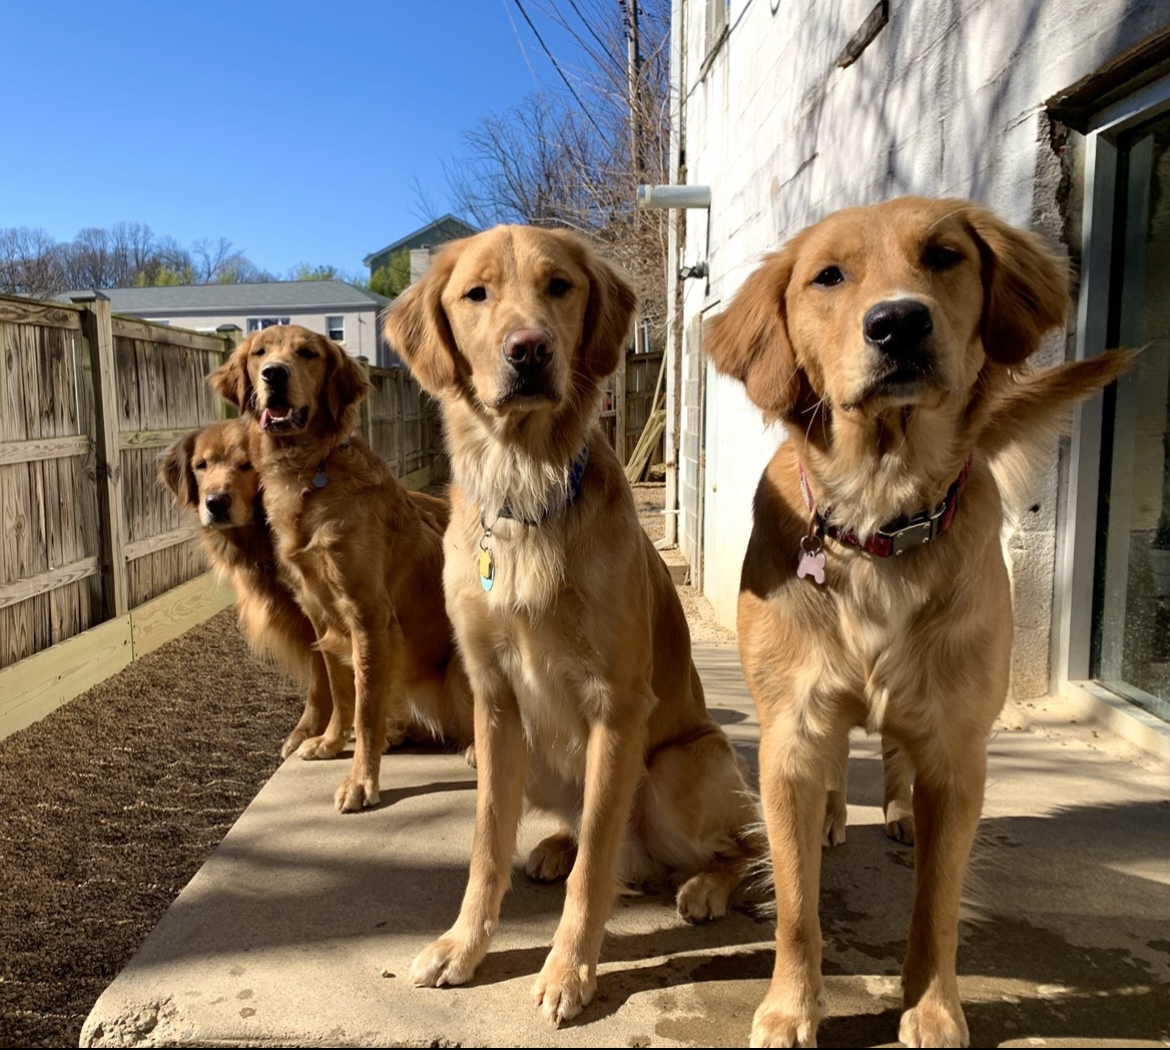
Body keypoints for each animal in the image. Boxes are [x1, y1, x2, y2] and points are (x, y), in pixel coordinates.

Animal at [155, 414, 341, 758]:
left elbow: (323, 681)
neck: (261, 542)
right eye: (201, 465)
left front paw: (310, 732)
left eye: (247, 465)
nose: (215, 503)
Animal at [210, 327, 470, 810]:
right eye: (260, 353)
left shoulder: (368, 616)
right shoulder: (321, 614)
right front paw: (330, 743)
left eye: (307, 354)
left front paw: (361, 782)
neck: (308, 471)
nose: (274, 374)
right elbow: (339, 689)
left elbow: (364, 709)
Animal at [383, 227, 758, 1025]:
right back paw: (557, 846)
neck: (527, 487)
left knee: (735, 843)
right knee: (593, 834)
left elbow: (595, 871)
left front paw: (567, 971)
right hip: (537, 757)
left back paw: (703, 885)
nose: (528, 349)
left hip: (680, 768)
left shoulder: (617, 708)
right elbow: (486, 844)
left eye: (559, 286)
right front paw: (464, 945)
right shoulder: (494, 703)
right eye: (477, 293)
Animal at [702, 194, 1132, 1039]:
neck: (880, 516)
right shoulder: (791, 733)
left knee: (900, 759)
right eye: (827, 276)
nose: (898, 322)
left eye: (943, 256)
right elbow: (796, 903)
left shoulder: (959, 752)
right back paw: (837, 813)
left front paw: (932, 1007)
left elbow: (936, 903)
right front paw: (790, 1006)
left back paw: (899, 809)